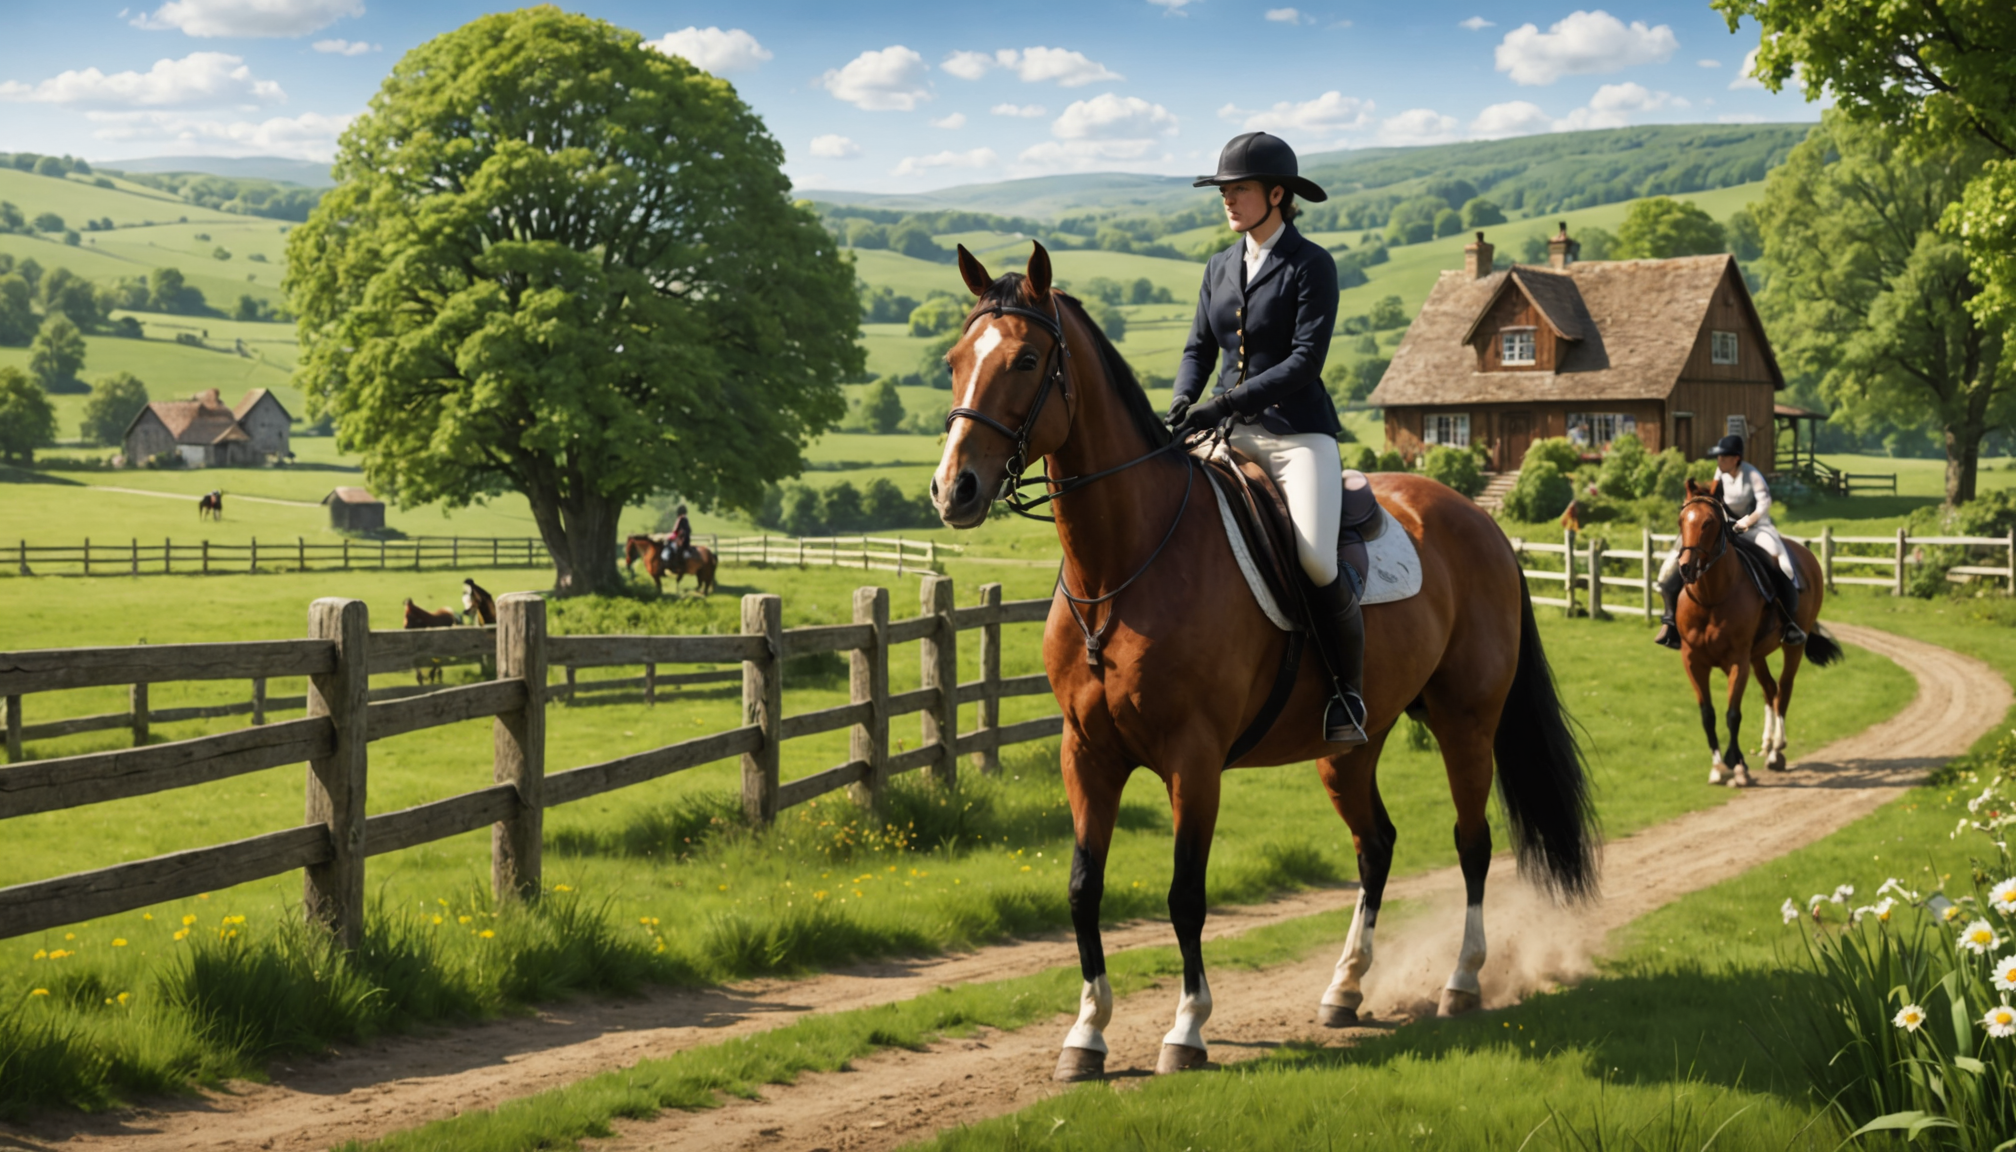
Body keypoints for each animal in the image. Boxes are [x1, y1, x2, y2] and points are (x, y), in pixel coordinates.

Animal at [930, 242, 1599, 1081]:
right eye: (955, 361)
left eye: (1024, 360)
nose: (953, 489)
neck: (1123, 567)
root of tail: (1477, 521)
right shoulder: (1085, 753)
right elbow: (1084, 888)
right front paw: (1086, 1034)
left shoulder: (1194, 760)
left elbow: (1185, 894)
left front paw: (1187, 1029)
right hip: (1352, 745)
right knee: (1375, 844)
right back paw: (1344, 989)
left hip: (1466, 723)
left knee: (1471, 843)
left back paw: (1461, 982)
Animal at [1672, 478, 1843, 787]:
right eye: (1682, 520)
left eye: (1709, 522)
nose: (1686, 568)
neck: (1712, 598)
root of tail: (1806, 553)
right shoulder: (1693, 661)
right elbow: (1708, 714)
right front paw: (1718, 767)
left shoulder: (1737, 661)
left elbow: (1732, 714)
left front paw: (1738, 766)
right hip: (1758, 655)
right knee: (1770, 689)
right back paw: (1767, 743)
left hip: (1792, 646)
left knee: (1784, 689)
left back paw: (1776, 750)